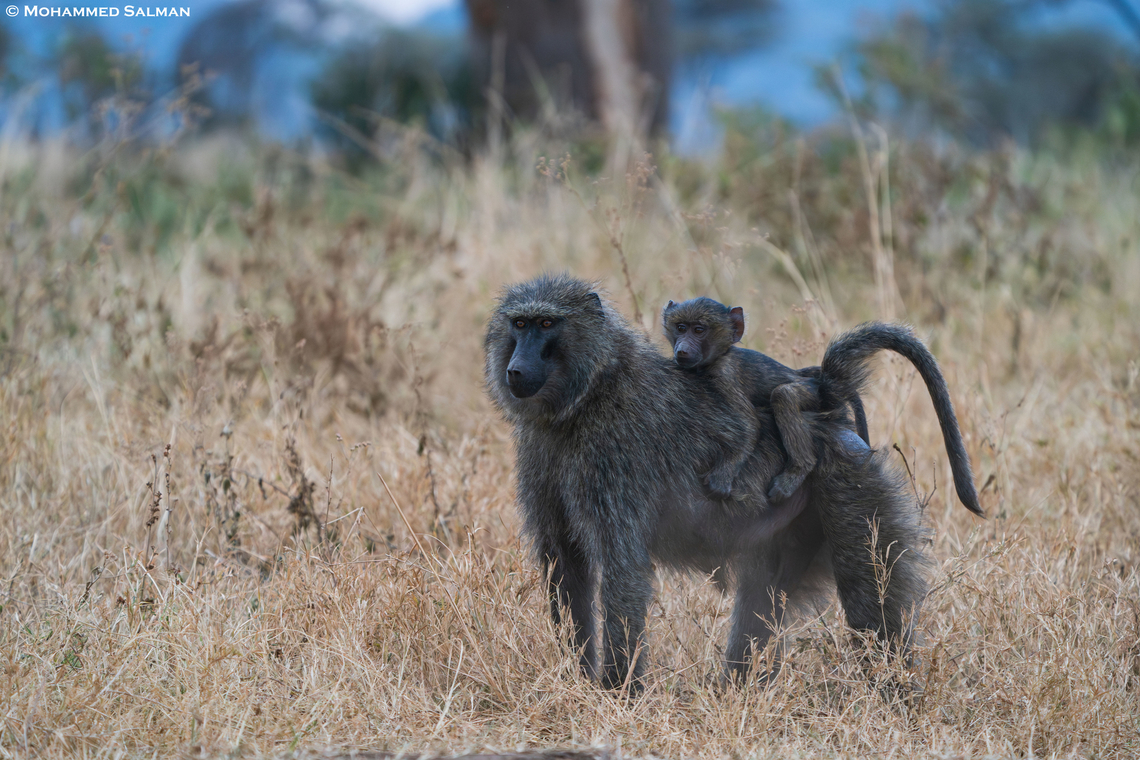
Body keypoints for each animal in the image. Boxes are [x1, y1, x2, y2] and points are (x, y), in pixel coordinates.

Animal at [485, 274, 982, 689]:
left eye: (547, 323)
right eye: (520, 323)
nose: (516, 369)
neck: (591, 392)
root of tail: (827, 403)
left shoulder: (615, 460)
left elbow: (623, 570)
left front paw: (616, 693)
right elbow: (564, 563)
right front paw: (578, 681)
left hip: (849, 483)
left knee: (870, 607)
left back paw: (895, 695)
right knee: (762, 603)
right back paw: (736, 693)